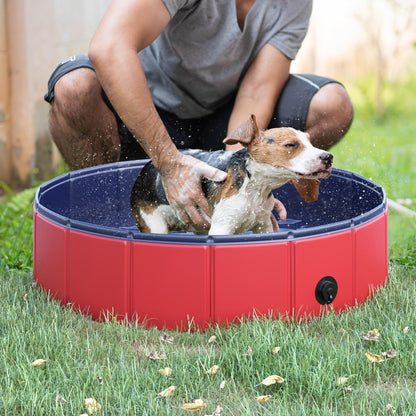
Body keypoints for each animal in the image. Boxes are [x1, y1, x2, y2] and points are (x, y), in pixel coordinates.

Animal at [132, 115, 334, 236]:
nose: (328, 157)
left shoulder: (263, 225)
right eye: (290, 145)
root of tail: (145, 169)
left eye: (310, 142)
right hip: (154, 224)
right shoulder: (222, 227)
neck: (254, 188)